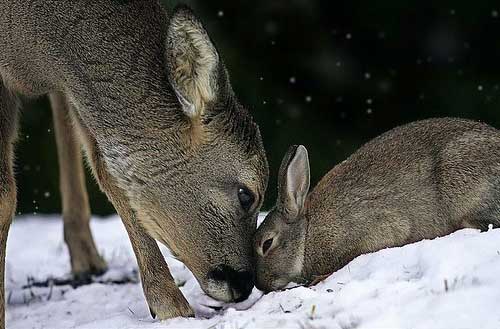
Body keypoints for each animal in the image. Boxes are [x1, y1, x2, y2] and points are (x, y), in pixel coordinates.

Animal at [0, 0, 270, 326]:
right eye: (247, 195)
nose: (244, 283)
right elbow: (5, 197)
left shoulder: (74, 87)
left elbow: (111, 173)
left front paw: (169, 305)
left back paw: (87, 258)